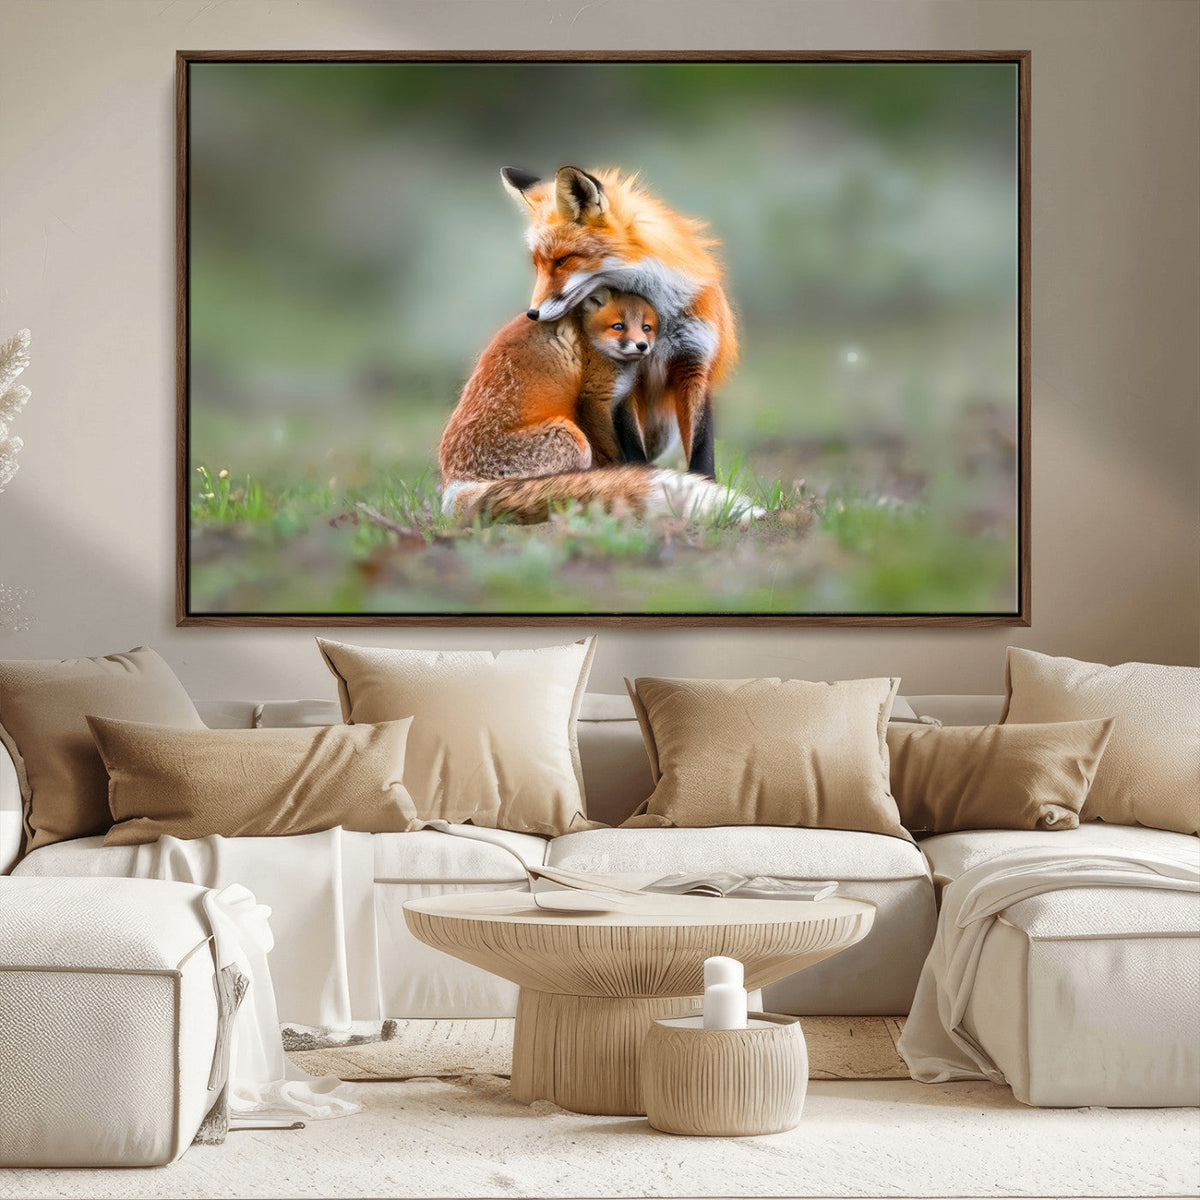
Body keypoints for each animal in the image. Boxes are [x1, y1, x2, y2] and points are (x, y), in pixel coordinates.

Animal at [438, 287, 759, 525]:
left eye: (646, 327)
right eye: (618, 327)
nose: (642, 346)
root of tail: (455, 484)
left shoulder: (622, 401)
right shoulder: (594, 399)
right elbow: (613, 452)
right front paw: (623, 476)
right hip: (572, 438)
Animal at [501, 164, 737, 478]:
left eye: (562, 260)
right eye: (537, 264)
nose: (532, 314)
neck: (659, 317)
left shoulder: (694, 363)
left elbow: (701, 448)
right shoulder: (625, 378)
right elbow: (632, 446)